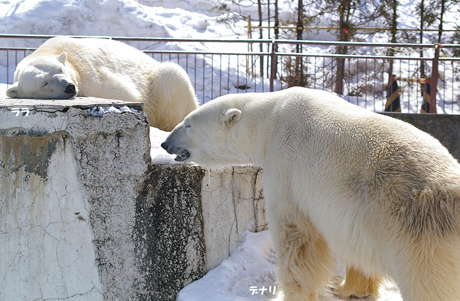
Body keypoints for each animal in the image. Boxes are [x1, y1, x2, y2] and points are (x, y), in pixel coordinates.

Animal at [6, 36, 198, 130]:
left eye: (59, 69)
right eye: (44, 83)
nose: (69, 88)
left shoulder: (90, 74)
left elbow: (127, 93)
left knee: (171, 75)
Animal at [163, 85, 460, 298]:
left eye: (187, 123)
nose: (166, 143)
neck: (269, 119)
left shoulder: (285, 167)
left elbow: (296, 236)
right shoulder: (355, 213)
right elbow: (356, 249)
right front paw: (347, 288)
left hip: (420, 238)